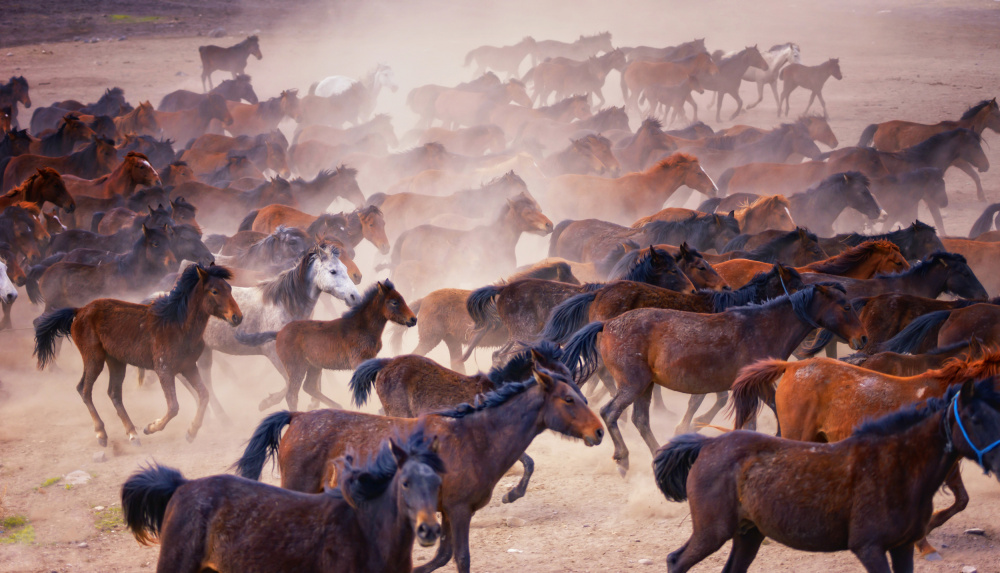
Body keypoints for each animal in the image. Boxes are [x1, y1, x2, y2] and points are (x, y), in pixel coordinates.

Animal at [33, 264, 241, 445]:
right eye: (214, 291)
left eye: (229, 288)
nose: (237, 317)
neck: (177, 324)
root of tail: (79, 311)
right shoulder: (164, 370)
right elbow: (174, 406)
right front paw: (151, 427)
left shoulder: (188, 367)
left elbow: (204, 395)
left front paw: (191, 432)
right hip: (94, 359)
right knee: (84, 389)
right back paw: (102, 434)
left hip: (116, 362)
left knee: (113, 393)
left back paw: (133, 434)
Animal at [233, 342, 603, 573]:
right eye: (568, 398)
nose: (598, 432)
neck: (474, 435)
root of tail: (297, 417)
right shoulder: (458, 510)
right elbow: (460, 557)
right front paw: (512, 494)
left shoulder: (450, 511)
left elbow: (442, 556)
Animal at [235, 280, 415, 411]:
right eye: (394, 302)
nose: (413, 319)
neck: (362, 326)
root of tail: (278, 333)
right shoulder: (358, 361)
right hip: (297, 367)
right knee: (292, 394)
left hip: (314, 366)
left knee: (309, 387)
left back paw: (338, 408)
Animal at [562, 283, 866, 473]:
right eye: (845, 306)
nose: (863, 339)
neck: (763, 328)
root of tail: (607, 324)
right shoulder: (754, 385)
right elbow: (760, 417)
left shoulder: (759, 385)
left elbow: (764, 415)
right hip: (633, 384)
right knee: (610, 412)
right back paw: (623, 460)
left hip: (645, 386)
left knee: (640, 420)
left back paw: (659, 457)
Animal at [655, 378, 1000, 573]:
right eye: (974, 417)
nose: (998, 460)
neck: (894, 467)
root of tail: (706, 445)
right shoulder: (869, 547)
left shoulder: (902, 546)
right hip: (712, 532)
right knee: (675, 561)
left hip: (748, 534)